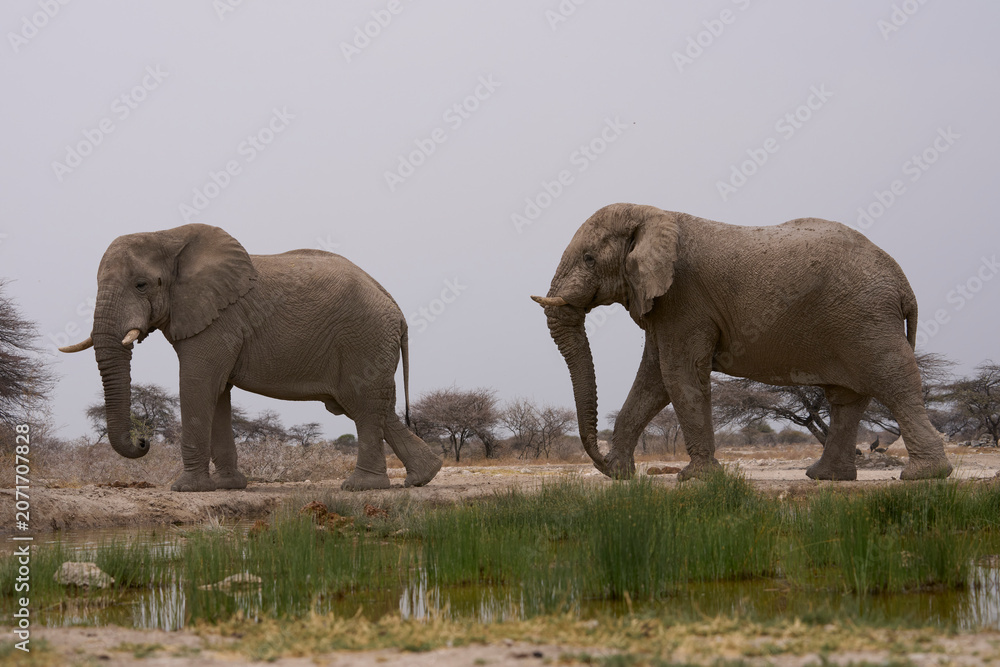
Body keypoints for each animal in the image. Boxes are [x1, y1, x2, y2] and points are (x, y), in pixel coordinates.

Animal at [61, 223, 442, 492]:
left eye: (141, 285)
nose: (143, 440)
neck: (167, 235)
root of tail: (396, 307)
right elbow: (217, 393)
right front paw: (229, 486)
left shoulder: (219, 319)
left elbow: (198, 384)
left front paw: (187, 489)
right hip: (371, 344)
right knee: (376, 407)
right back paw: (423, 477)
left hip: (364, 339)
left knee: (362, 404)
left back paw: (361, 487)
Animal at [532, 203, 953, 482]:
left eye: (589, 258)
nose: (599, 459)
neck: (652, 213)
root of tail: (904, 285)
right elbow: (653, 379)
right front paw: (620, 475)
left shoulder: (684, 296)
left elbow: (678, 373)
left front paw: (696, 479)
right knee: (848, 397)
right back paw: (825, 477)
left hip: (866, 317)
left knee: (893, 380)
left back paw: (924, 475)